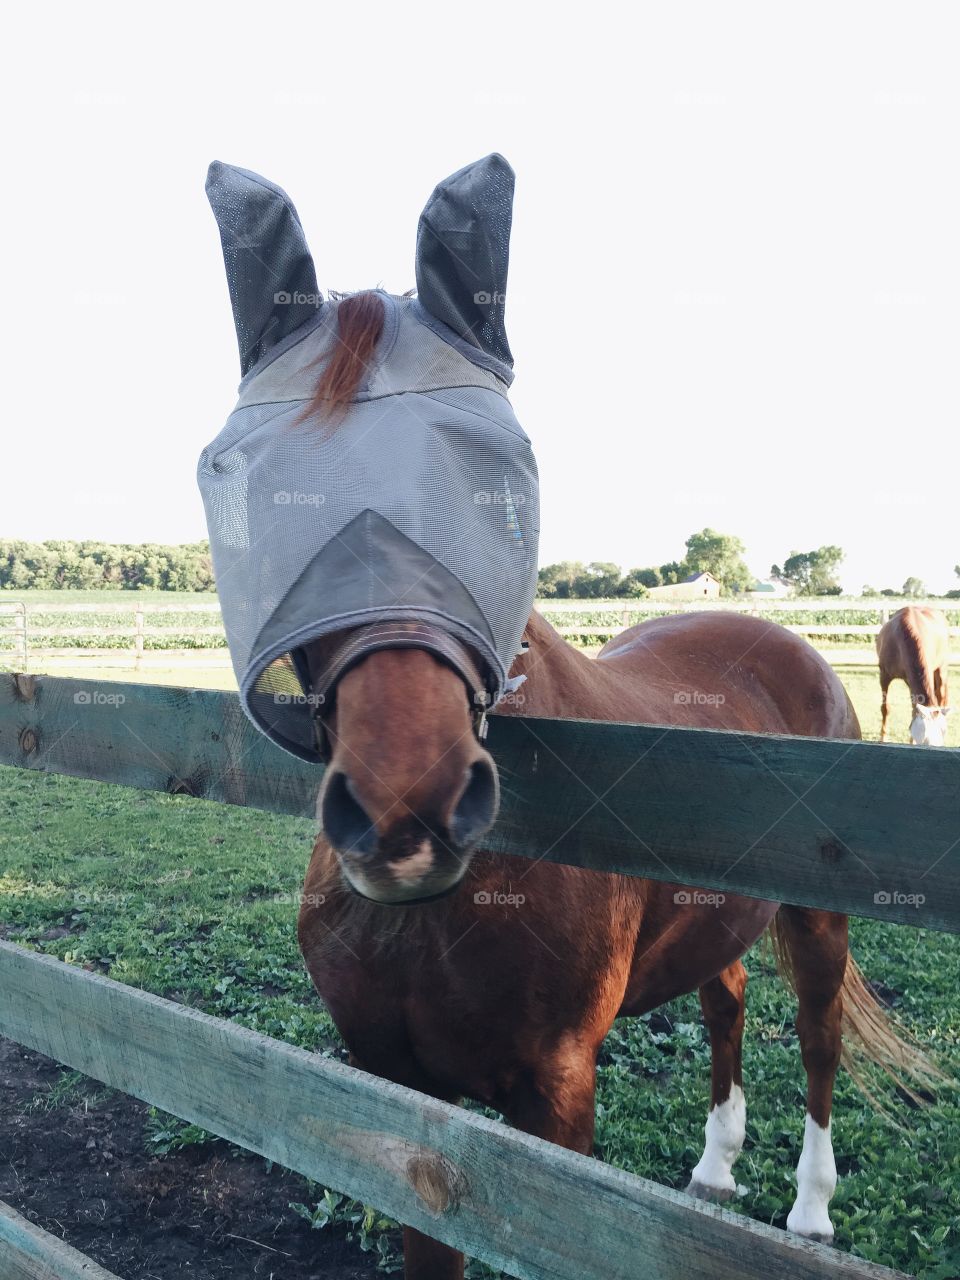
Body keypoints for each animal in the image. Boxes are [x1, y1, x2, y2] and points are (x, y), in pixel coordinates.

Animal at [296, 293, 936, 1280]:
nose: (406, 803)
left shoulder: (556, 1098)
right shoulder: (397, 1096)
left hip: (817, 919)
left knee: (819, 1040)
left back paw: (810, 1213)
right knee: (726, 1004)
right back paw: (715, 1170)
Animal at [875, 604, 952, 747]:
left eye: (943, 732)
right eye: (925, 736)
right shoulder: (884, 676)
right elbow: (885, 708)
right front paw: (883, 738)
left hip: (941, 669)